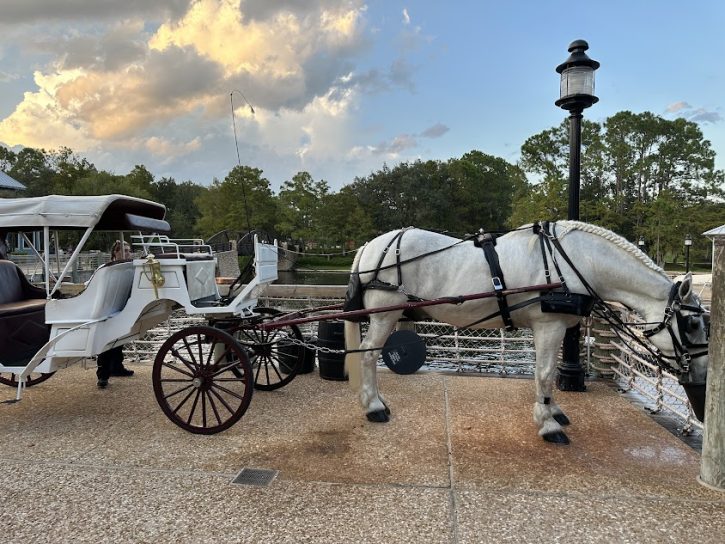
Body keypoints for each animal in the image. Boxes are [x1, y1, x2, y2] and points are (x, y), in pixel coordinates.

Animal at [344, 223, 708, 444]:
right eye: (692, 324)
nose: (702, 372)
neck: (577, 262)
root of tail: (372, 245)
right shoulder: (549, 325)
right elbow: (545, 373)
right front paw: (548, 424)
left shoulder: (550, 328)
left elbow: (545, 373)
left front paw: (554, 411)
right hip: (384, 314)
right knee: (369, 355)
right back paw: (373, 406)